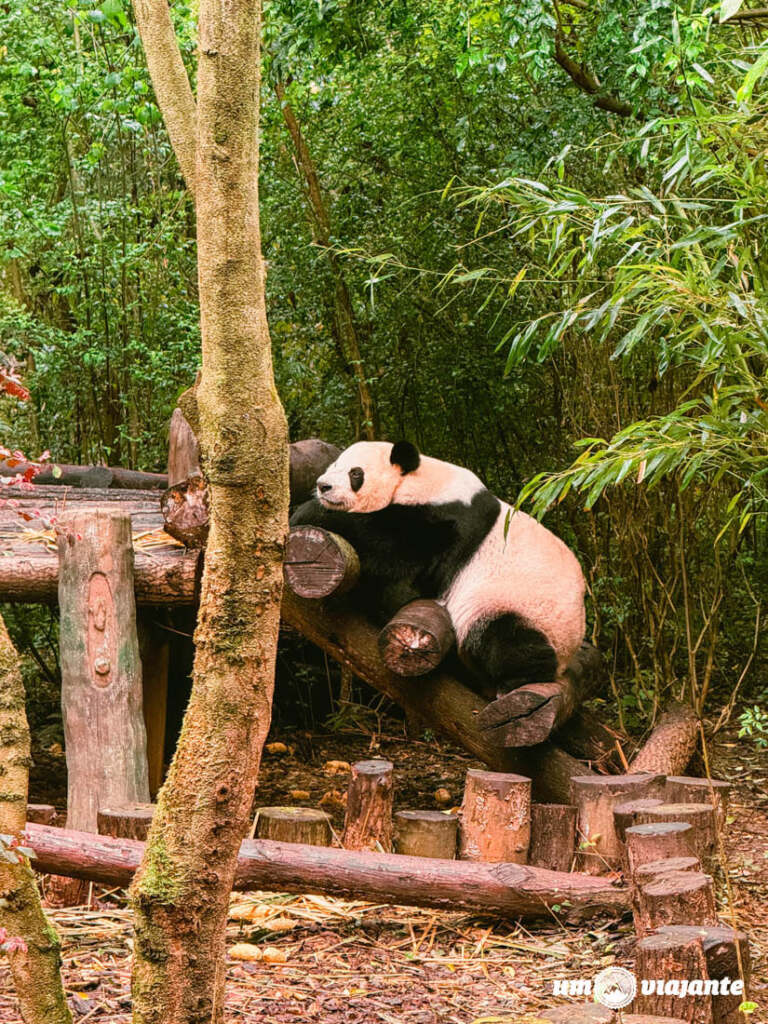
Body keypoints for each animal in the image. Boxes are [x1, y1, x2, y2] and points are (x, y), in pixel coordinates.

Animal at [290, 440, 586, 696]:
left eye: (355, 473)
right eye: (334, 465)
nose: (323, 486)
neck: (419, 481)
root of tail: (568, 654)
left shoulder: (445, 522)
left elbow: (392, 550)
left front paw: (307, 513)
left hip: (521, 606)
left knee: (505, 638)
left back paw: (517, 679)